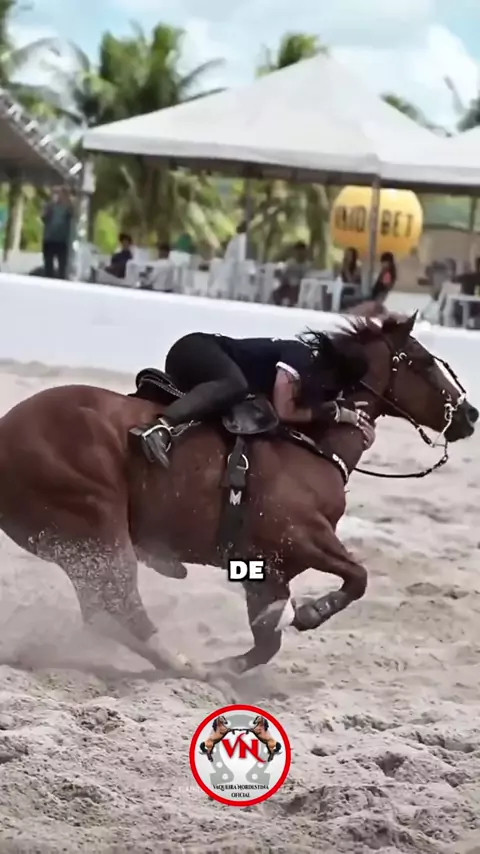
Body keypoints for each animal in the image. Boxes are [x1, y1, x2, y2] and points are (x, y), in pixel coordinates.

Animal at [0, 313, 476, 683]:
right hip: (99, 528)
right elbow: (357, 577)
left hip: (80, 549)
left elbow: (267, 642)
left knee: (105, 614)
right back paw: (186, 664)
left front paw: (229, 665)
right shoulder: (303, 536)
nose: (469, 414)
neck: (312, 444)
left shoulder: (268, 569)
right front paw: (310, 612)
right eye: (421, 362)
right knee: (123, 607)